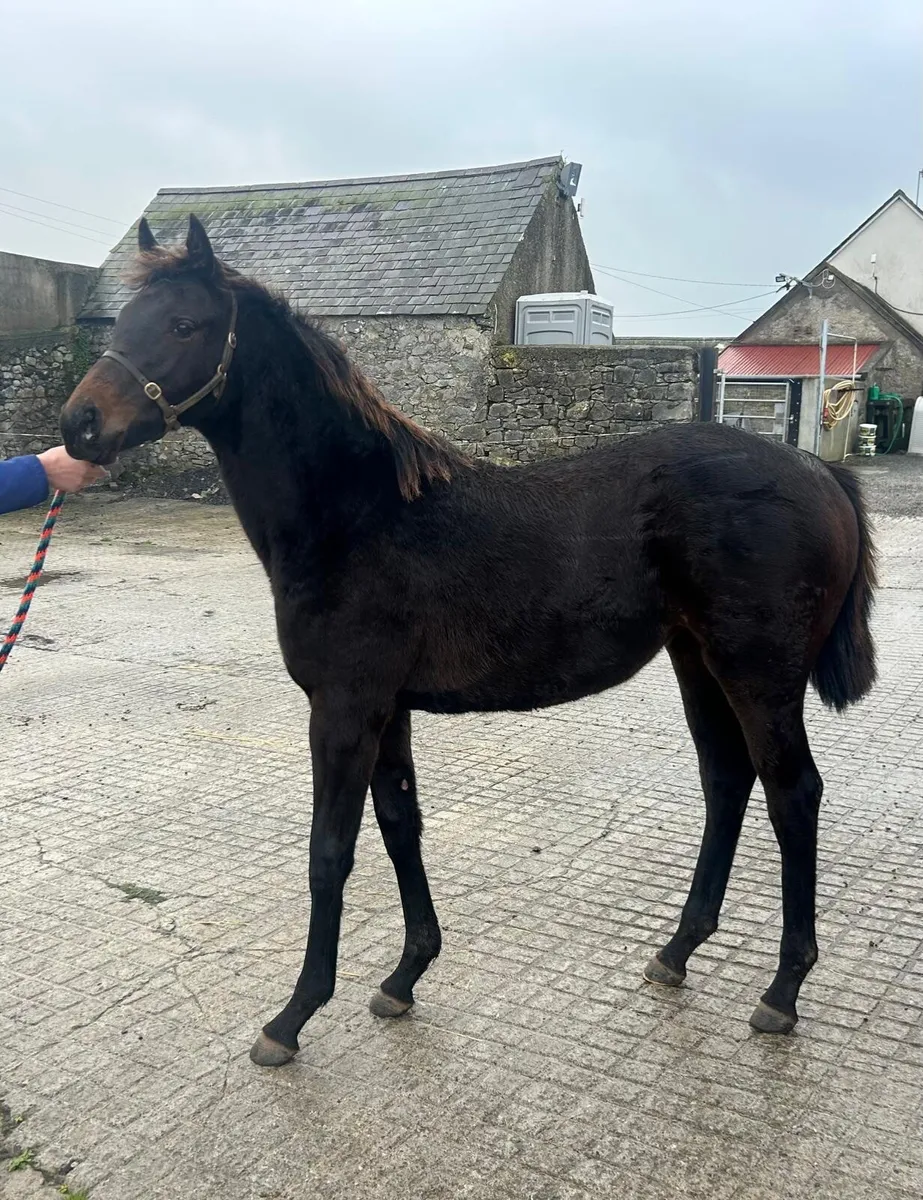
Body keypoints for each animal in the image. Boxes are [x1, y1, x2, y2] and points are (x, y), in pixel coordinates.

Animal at [60, 216, 876, 1067]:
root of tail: (816, 470)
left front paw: (292, 1017)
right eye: (120, 323)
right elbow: (400, 827)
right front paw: (404, 976)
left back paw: (781, 991)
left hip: (759, 673)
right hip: (698, 661)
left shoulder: (344, 709)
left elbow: (330, 852)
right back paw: (675, 951)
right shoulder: (386, 709)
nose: (78, 427)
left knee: (792, 794)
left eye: (185, 326)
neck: (359, 511)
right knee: (725, 781)